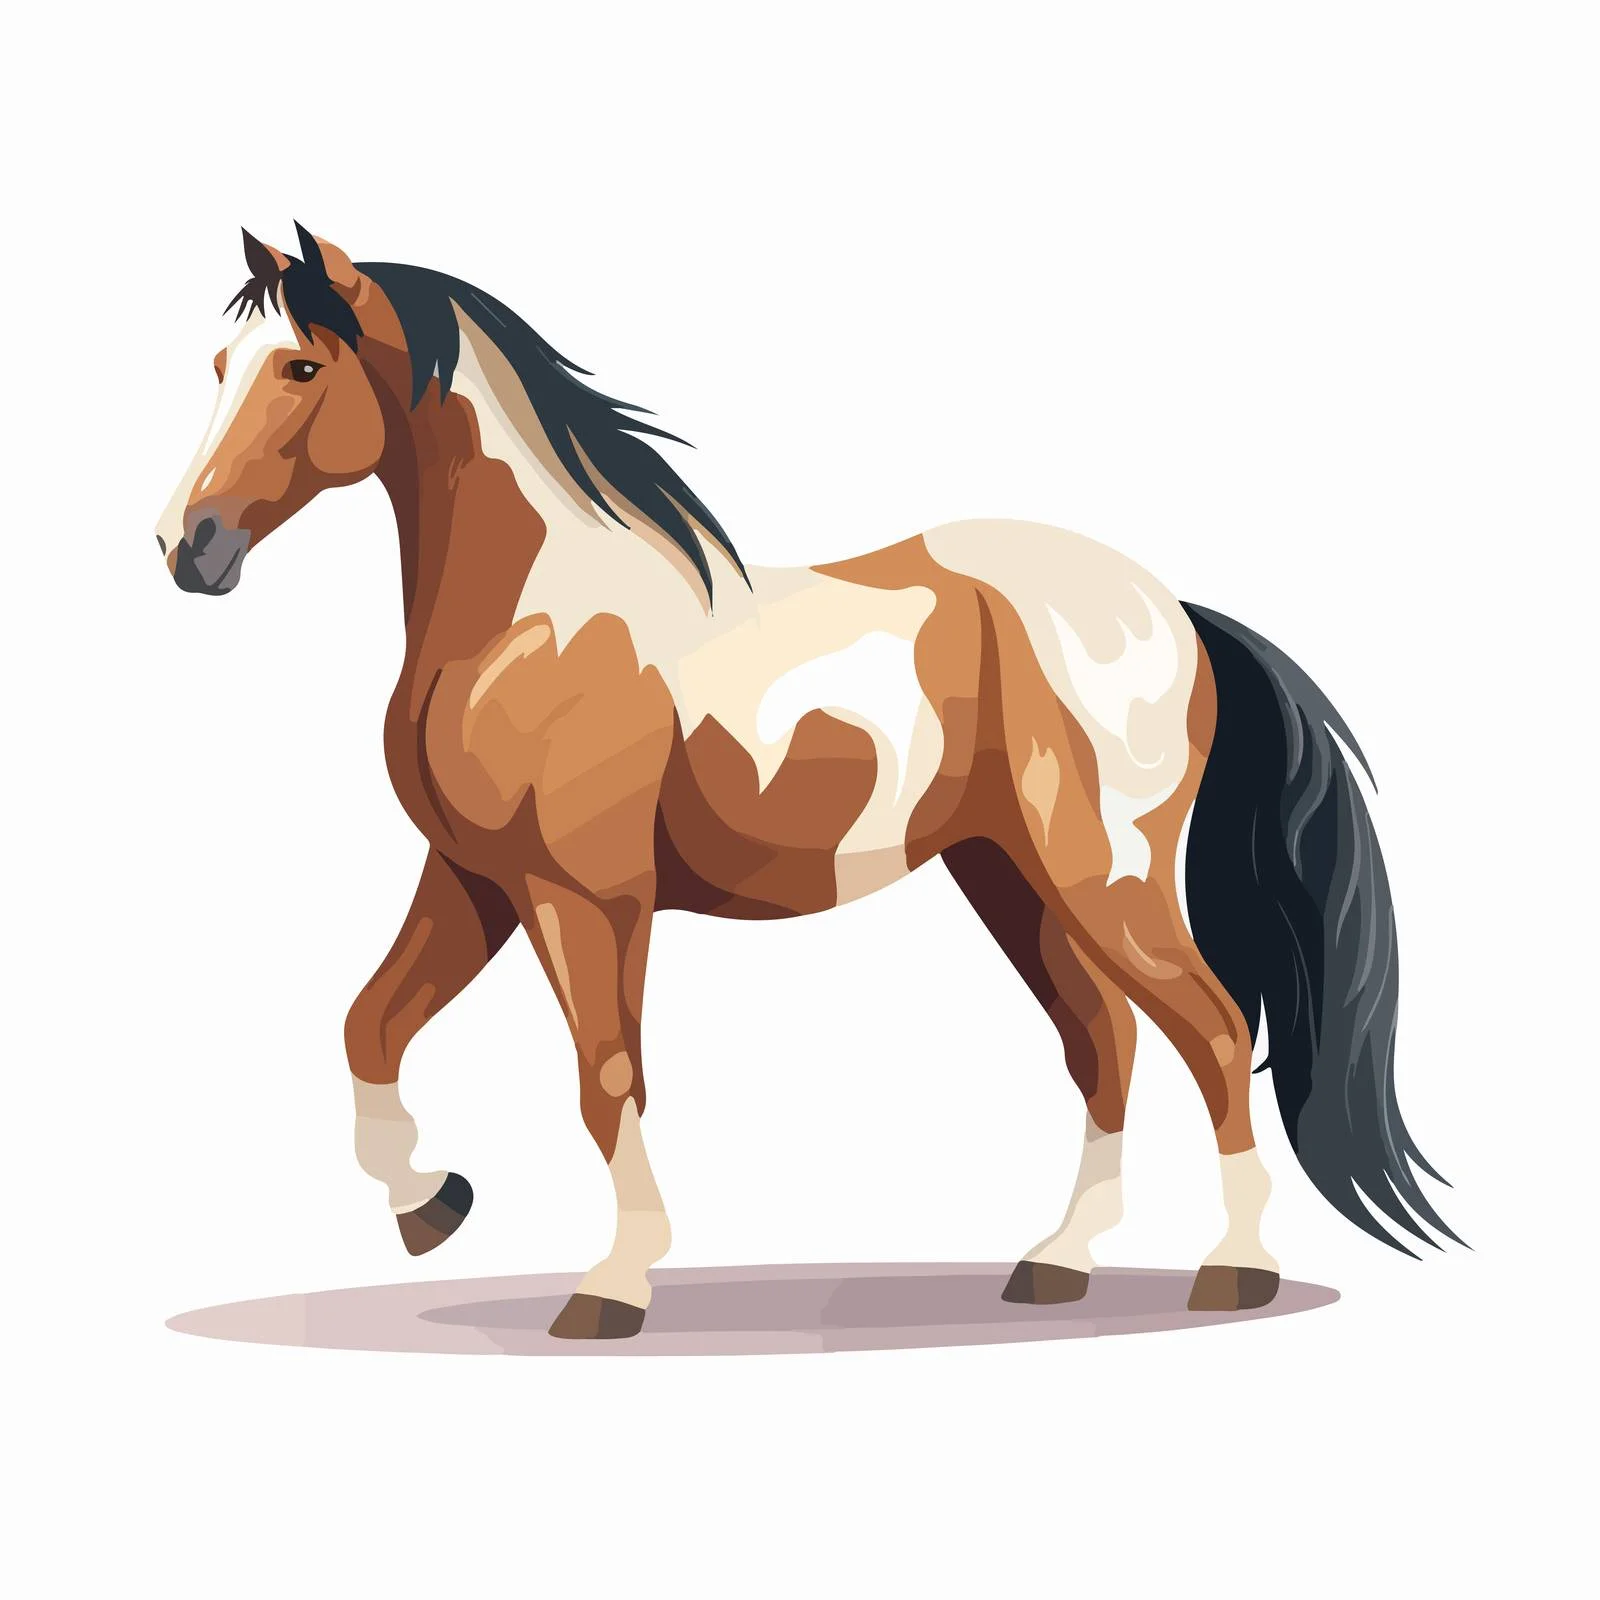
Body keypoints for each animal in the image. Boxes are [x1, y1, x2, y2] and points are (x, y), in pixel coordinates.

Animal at [156, 224, 1456, 1339]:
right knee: (1106, 1042)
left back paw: (1234, 1269)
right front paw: (432, 1204)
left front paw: (612, 1285)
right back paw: (1057, 1263)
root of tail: (1171, 610)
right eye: (221, 363)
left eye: (301, 364)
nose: (187, 547)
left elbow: (605, 1076)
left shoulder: (587, 895)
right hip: (1010, 880)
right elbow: (368, 1024)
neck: (530, 619)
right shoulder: (476, 880)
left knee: (1214, 1030)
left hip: (1104, 873)